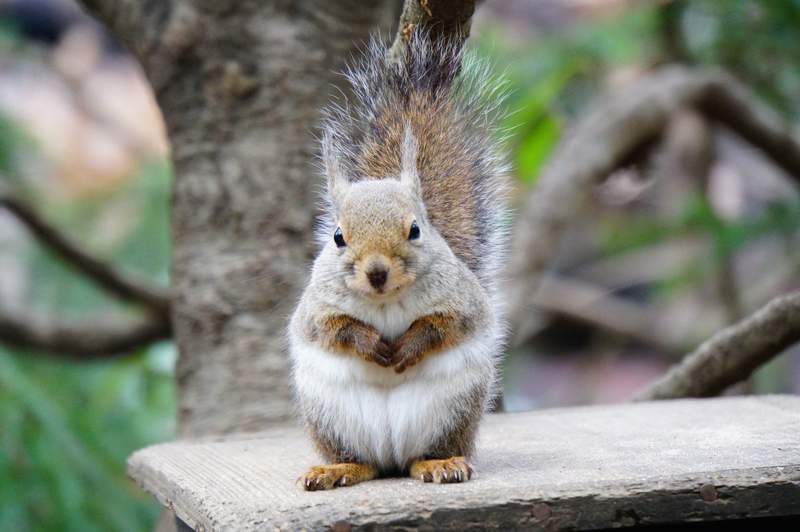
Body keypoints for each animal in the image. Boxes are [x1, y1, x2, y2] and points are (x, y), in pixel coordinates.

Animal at [289, 31, 508, 491]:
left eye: (415, 230)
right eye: (337, 236)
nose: (377, 272)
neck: (386, 300)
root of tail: (391, 454)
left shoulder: (462, 301)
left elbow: (446, 325)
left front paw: (408, 345)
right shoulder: (316, 309)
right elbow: (331, 329)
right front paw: (371, 344)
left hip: (453, 410)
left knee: (421, 456)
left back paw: (440, 464)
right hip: (330, 418)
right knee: (364, 462)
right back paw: (338, 469)